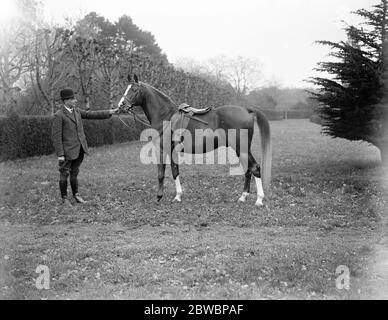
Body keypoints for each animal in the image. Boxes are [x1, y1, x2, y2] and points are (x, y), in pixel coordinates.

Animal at [116, 74, 272, 206]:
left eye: (134, 89)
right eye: (126, 88)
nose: (120, 106)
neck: (165, 116)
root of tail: (246, 110)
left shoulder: (161, 149)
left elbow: (161, 173)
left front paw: (159, 196)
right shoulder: (173, 151)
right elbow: (175, 172)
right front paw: (178, 196)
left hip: (242, 148)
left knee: (255, 168)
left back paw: (259, 200)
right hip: (240, 150)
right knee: (248, 170)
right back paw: (243, 197)